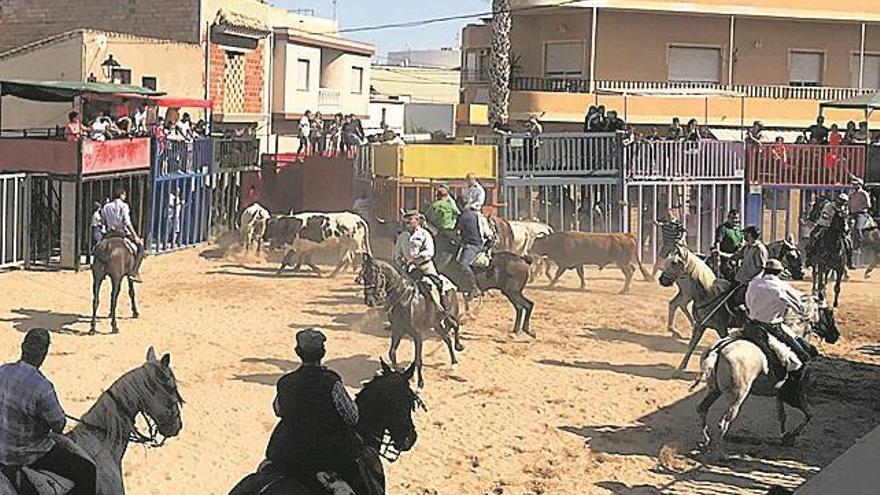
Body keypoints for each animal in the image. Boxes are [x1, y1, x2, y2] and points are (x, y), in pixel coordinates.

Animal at [360, 254, 464, 390]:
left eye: (373, 275)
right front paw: (398, 371)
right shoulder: (397, 330)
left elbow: (418, 359)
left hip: (450, 315)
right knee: (447, 338)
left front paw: (420, 384)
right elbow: (392, 353)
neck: (405, 299)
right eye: (364, 276)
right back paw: (453, 363)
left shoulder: (417, 334)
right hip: (436, 324)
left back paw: (457, 352)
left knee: (455, 326)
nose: (369, 301)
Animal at [696, 296, 840, 460]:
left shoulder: (779, 392)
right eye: (829, 313)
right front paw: (791, 436)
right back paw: (721, 453)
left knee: (702, 409)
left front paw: (784, 436)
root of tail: (717, 351)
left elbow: (782, 415)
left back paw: (706, 441)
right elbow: (809, 414)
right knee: (723, 423)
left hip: (714, 391)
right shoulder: (796, 394)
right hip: (737, 398)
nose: (835, 336)